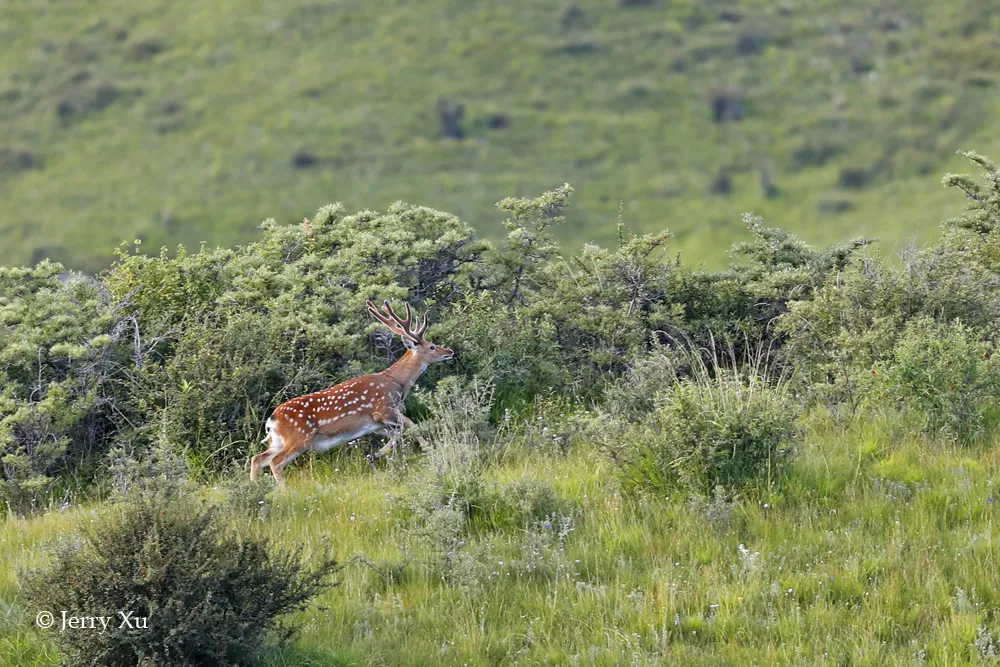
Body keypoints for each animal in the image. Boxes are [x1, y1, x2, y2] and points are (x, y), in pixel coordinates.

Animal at [248, 300, 456, 488]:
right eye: (432, 346)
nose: (450, 351)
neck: (397, 383)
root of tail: (272, 419)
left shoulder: (374, 424)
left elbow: (397, 434)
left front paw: (374, 455)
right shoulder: (383, 409)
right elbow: (412, 424)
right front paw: (428, 448)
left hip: (277, 441)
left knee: (257, 458)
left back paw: (256, 489)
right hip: (299, 438)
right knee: (275, 462)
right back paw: (285, 493)